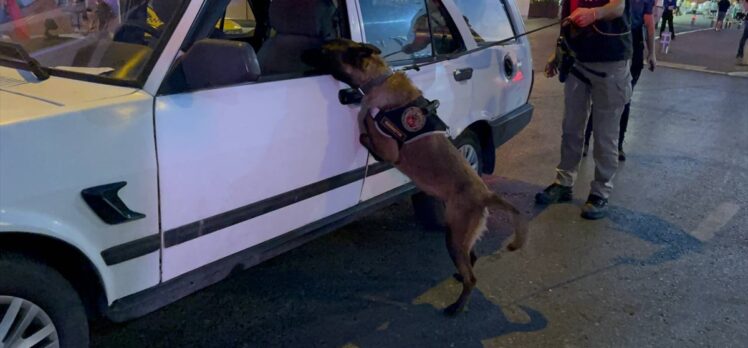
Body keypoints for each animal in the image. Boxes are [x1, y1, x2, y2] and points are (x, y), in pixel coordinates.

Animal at [302, 38, 524, 316]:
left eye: (326, 50)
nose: (303, 51)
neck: (377, 79)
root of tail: (485, 194)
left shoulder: (388, 149)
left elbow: (364, 129)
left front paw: (365, 120)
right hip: (460, 235)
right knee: (471, 258)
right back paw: (459, 279)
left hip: (454, 236)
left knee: (472, 276)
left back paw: (456, 307)